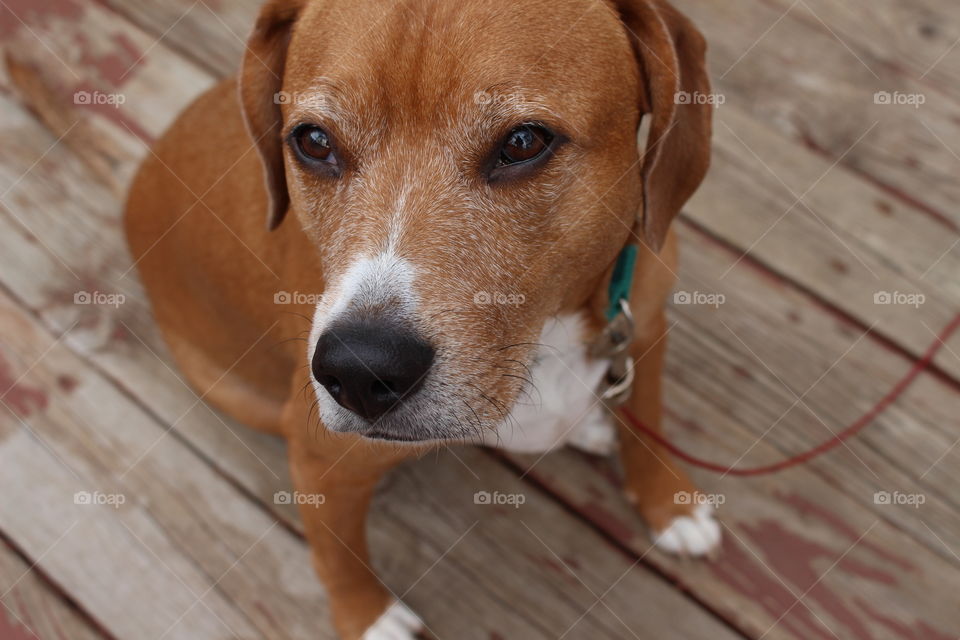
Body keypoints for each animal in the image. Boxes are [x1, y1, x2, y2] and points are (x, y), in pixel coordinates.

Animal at [124, 1, 712, 636]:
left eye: (524, 141)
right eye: (313, 141)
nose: (359, 372)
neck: (545, 331)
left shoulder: (645, 324)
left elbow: (647, 418)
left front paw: (669, 502)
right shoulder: (320, 459)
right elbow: (336, 553)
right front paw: (367, 617)